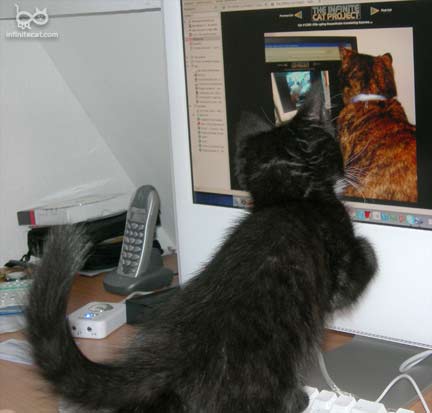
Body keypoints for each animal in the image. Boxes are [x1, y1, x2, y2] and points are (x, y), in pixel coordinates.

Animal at [26, 87, 377, 413]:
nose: (347, 169)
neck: (287, 198)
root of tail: (163, 363)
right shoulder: (339, 268)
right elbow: (364, 262)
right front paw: (370, 248)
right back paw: (298, 398)